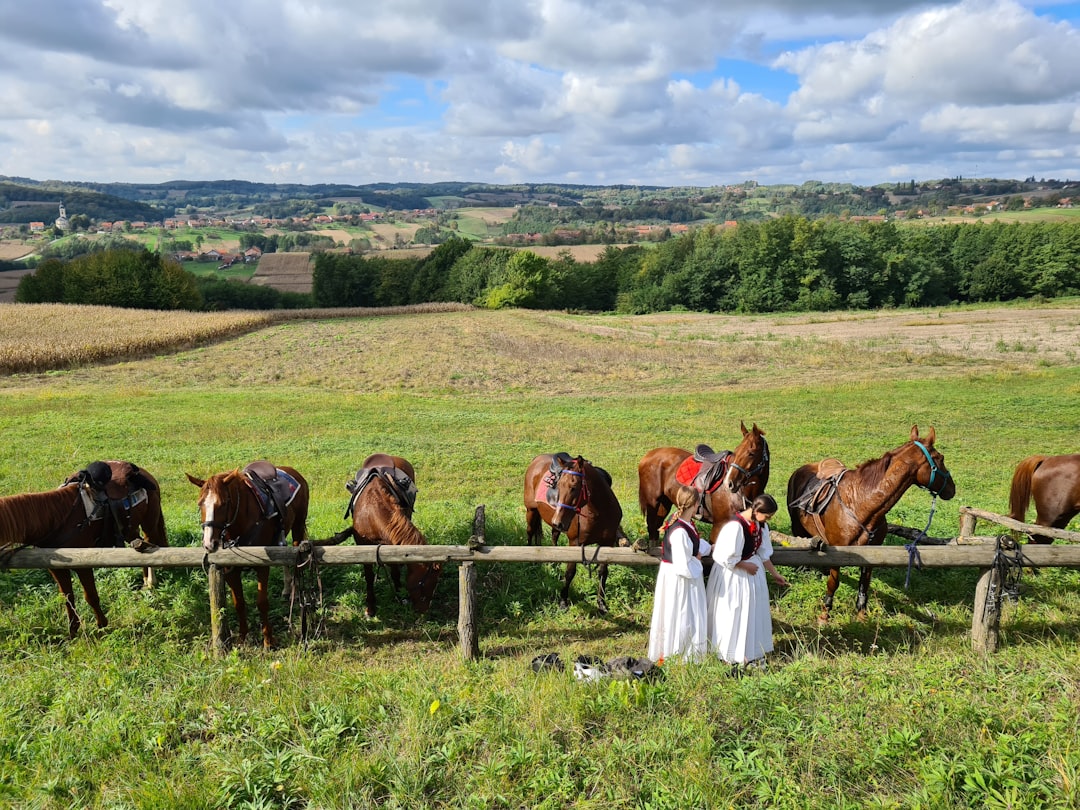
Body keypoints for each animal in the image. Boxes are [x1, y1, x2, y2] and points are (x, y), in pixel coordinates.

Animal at [334, 453, 440, 617]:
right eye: (425, 583)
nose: (423, 610)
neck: (371, 512)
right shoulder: (362, 547)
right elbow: (369, 577)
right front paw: (370, 607)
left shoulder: (391, 547)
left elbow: (395, 571)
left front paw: (399, 594)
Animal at [522, 453, 626, 613]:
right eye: (558, 486)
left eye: (574, 487)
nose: (557, 521)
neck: (598, 513)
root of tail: (537, 459)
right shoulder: (575, 543)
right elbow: (570, 572)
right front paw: (563, 601)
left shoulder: (607, 543)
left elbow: (603, 572)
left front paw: (601, 603)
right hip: (531, 511)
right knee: (530, 533)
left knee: (554, 536)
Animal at [635, 425, 773, 546]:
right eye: (736, 451)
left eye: (751, 453)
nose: (729, 483)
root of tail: (648, 455)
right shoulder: (719, 526)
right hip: (653, 503)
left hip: (664, 503)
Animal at [786, 427, 954, 626]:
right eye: (940, 458)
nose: (952, 489)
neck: (862, 504)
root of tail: (801, 469)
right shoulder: (838, 553)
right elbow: (833, 584)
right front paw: (824, 614)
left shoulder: (871, 554)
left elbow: (864, 585)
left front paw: (861, 615)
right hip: (796, 524)